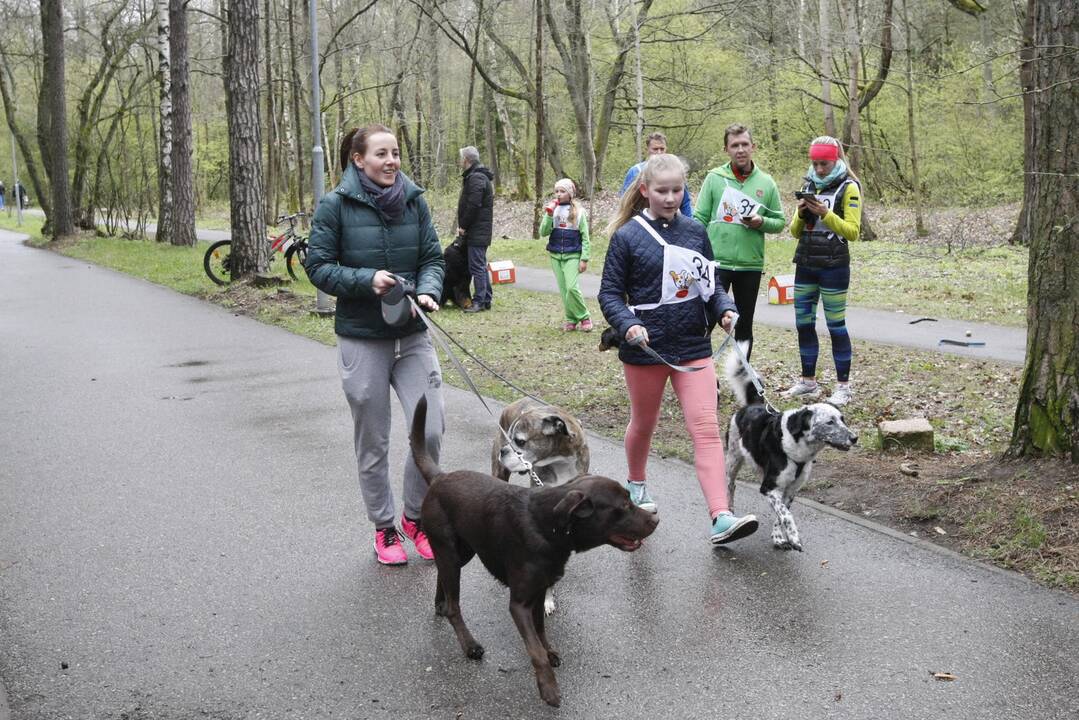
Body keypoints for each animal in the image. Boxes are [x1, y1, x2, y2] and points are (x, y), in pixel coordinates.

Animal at [405, 395, 651, 703]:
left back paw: (440, 603)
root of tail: (441, 476)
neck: (547, 524)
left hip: (462, 550)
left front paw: (550, 651)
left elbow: (541, 633)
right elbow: (534, 649)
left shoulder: (538, 591)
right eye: (623, 507)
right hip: (452, 547)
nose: (655, 519)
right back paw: (469, 644)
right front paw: (549, 688)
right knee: (454, 607)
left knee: (444, 579)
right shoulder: (519, 603)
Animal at [725, 345, 858, 552]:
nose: (854, 438)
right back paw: (729, 511)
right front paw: (794, 536)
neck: (798, 449)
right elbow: (786, 514)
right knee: (730, 486)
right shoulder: (769, 487)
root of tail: (754, 404)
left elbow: (782, 513)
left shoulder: (789, 491)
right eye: (829, 422)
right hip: (732, 461)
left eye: (842, 419)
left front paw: (779, 537)